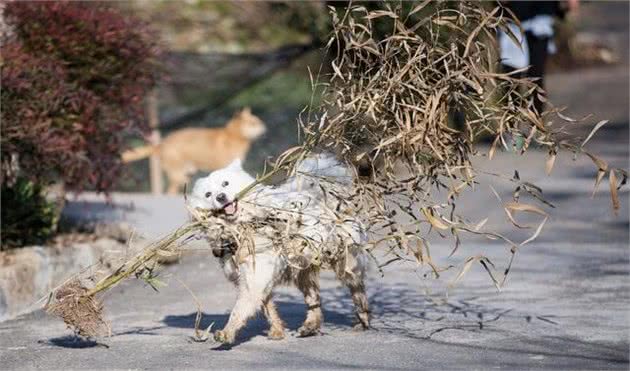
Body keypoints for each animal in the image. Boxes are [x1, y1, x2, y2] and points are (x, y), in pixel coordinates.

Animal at [123, 107, 266, 195]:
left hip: (186, 175)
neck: (234, 136)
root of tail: (161, 144)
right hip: (179, 176)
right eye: (253, 123)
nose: (265, 129)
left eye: (258, 121)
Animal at [190, 154, 372, 346]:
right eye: (208, 194)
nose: (221, 197)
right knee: (314, 299)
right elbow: (268, 308)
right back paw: (310, 326)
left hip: (346, 262)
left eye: (225, 183)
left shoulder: (254, 279)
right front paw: (277, 330)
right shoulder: (251, 279)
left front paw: (227, 332)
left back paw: (363, 318)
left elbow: (239, 309)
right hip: (302, 270)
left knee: (357, 287)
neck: (240, 229)